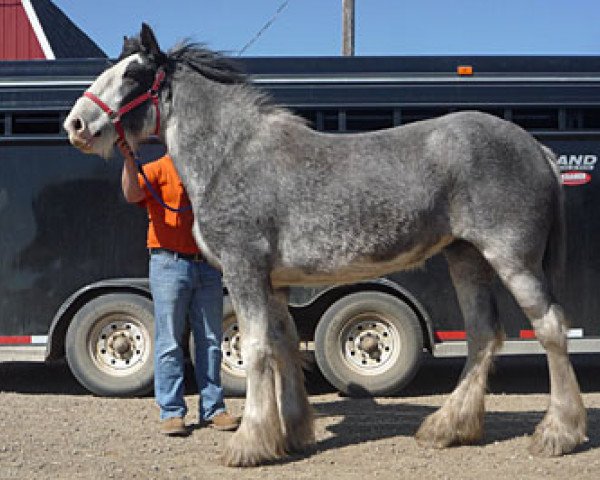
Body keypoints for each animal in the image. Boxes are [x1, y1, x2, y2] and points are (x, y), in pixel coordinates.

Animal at [63, 24, 588, 466]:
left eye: (133, 75)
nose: (76, 125)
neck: (232, 155)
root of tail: (536, 148)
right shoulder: (274, 283)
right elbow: (283, 346)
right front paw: (292, 434)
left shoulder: (244, 270)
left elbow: (256, 349)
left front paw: (248, 445)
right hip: (466, 258)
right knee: (482, 334)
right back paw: (447, 428)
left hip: (513, 260)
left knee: (549, 328)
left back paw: (557, 434)